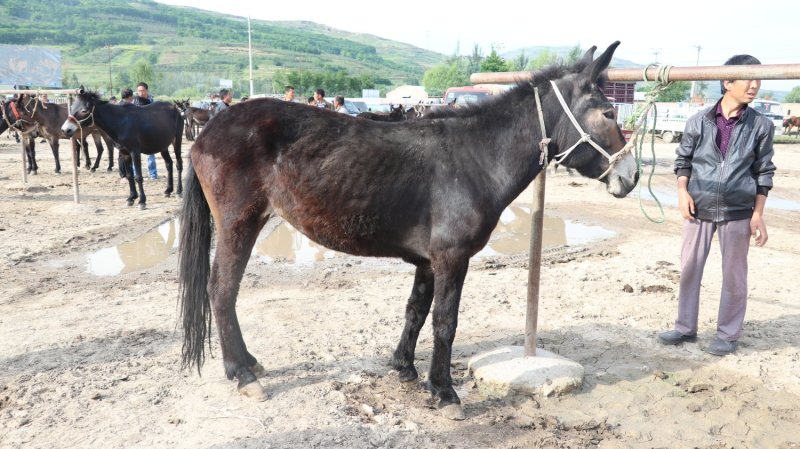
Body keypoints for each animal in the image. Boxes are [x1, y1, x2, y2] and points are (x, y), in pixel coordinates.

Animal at [178, 42, 638, 420]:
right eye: (608, 113)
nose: (632, 177)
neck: (476, 158)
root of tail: (207, 132)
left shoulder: (428, 260)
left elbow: (416, 311)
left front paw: (406, 369)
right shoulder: (452, 258)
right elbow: (445, 322)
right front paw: (445, 393)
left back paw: (249, 362)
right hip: (239, 225)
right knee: (221, 290)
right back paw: (241, 374)